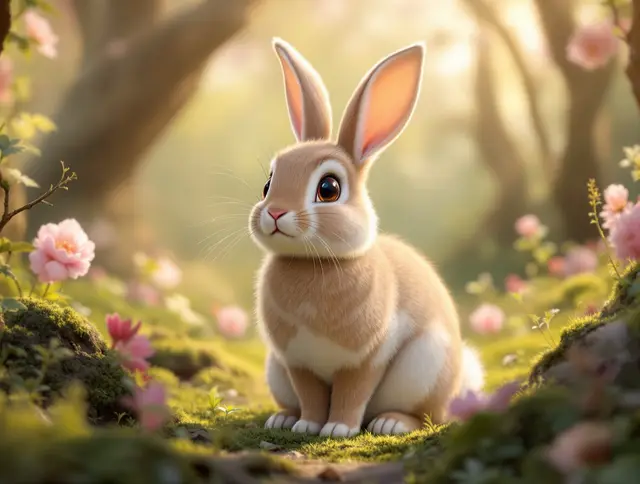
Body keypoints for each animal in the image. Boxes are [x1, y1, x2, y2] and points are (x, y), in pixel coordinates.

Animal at [248, 37, 485, 438]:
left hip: (425, 366)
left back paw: (391, 422)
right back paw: (284, 418)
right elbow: (311, 396)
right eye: (268, 184)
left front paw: (338, 429)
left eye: (328, 188)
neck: (314, 263)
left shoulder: (369, 357)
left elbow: (352, 393)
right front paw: (307, 426)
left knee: (426, 415)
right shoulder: (297, 362)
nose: (275, 213)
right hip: (275, 370)